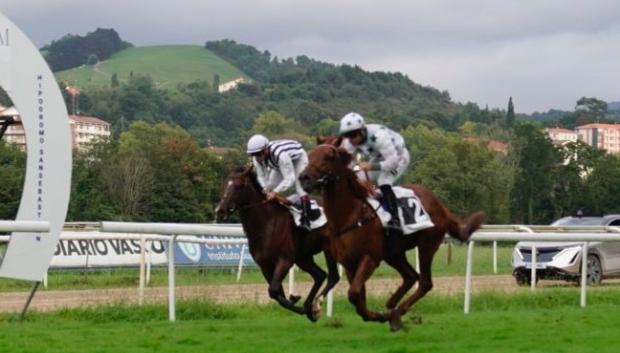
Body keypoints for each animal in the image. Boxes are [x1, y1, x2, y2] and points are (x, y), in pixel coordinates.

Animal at [213, 166, 340, 320]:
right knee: (320, 275)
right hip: (303, 257)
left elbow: (273, 290)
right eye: (224, 185)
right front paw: (298, 301)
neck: (266, 224)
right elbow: (277, 293)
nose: (220, 211)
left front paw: (300, 305)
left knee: (333, 277)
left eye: (238, 187)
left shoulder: (284, 260)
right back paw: (309, 305)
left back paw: (316, 306)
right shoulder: (264, 265)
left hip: (329, 249)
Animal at [300, 140, 484, 330]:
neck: (350, 216)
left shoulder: (370, 258)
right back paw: (391, 306)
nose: (304, 177)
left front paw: (379, 315)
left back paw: (396, 312)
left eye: (327, 157)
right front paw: (377, 315)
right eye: (310, 155)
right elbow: (358, 297)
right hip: (394, 253)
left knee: (425, 283)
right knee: (411, 276)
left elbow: (354, 293)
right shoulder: (349, 263)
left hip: (427, 245)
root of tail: (441, 206)